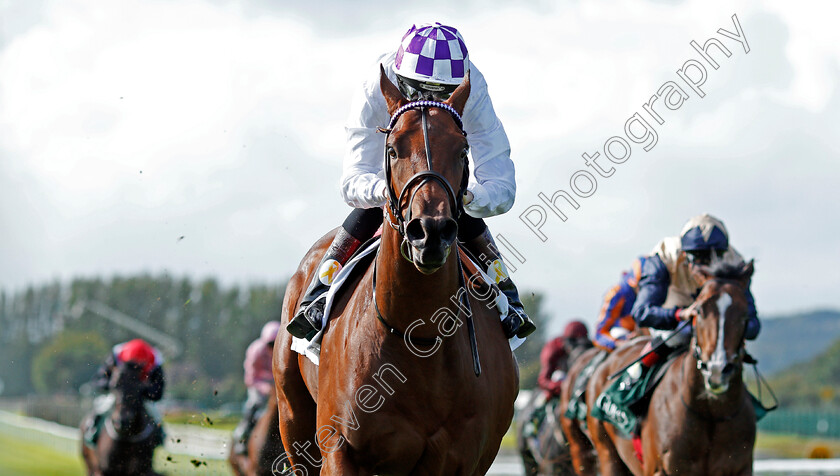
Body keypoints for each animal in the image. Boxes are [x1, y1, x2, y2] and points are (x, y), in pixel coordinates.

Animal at [572, 262, 756, 474]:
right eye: (699, 311)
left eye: (745, 315)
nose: (717, 370)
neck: (710, 414)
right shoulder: (661, 469)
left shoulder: (742, 467)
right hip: (605, 452)